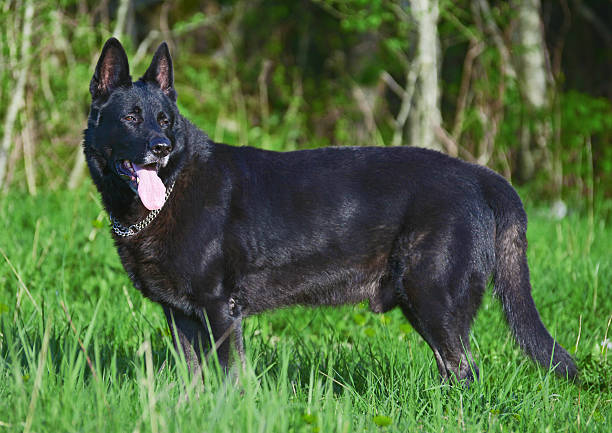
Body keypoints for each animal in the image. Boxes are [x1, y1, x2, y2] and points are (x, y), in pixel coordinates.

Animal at [83, 37, 576, 382]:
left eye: (165, 121)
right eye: (131, 118)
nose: (161, 149)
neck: (172, 190)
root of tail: (477, 174)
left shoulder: (221, 311)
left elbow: (230, 380)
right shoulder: (181, 316)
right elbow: (194, 380)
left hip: (435, 300)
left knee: (465, 374)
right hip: (424, 307)